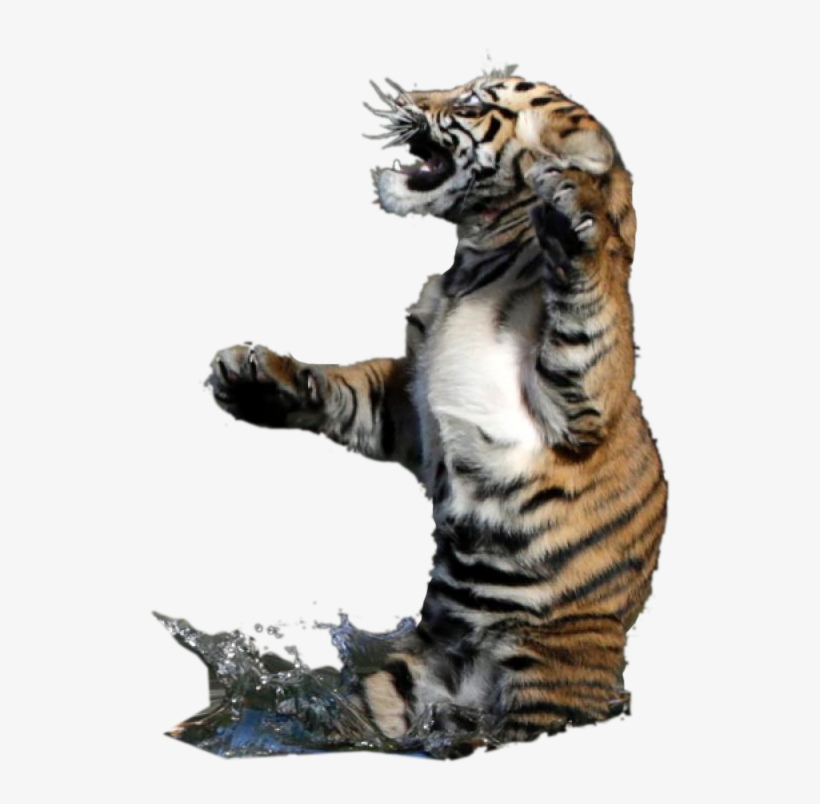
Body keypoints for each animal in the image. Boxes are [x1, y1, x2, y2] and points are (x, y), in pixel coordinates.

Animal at [207, 69, 667, 752]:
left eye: (472, 103)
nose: (404, 96)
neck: (473, 260)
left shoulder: (572, 407)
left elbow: (590, 317)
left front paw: (571, 209)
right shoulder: (408, 404)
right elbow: (349, 390)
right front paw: (254, 383)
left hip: (545, 680)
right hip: (397, 688)